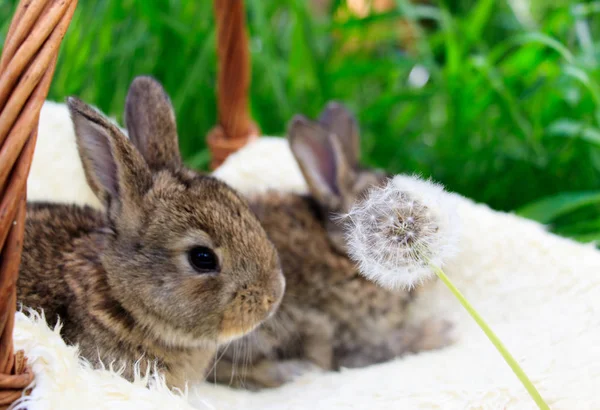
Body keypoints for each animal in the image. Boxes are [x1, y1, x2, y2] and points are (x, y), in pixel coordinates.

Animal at [213, 101, 452, 390]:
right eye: (401, 224)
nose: (440, 271)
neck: (346, 257)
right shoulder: (359, 336)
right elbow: (393, 346)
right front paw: (442, 333)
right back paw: (296, 371)